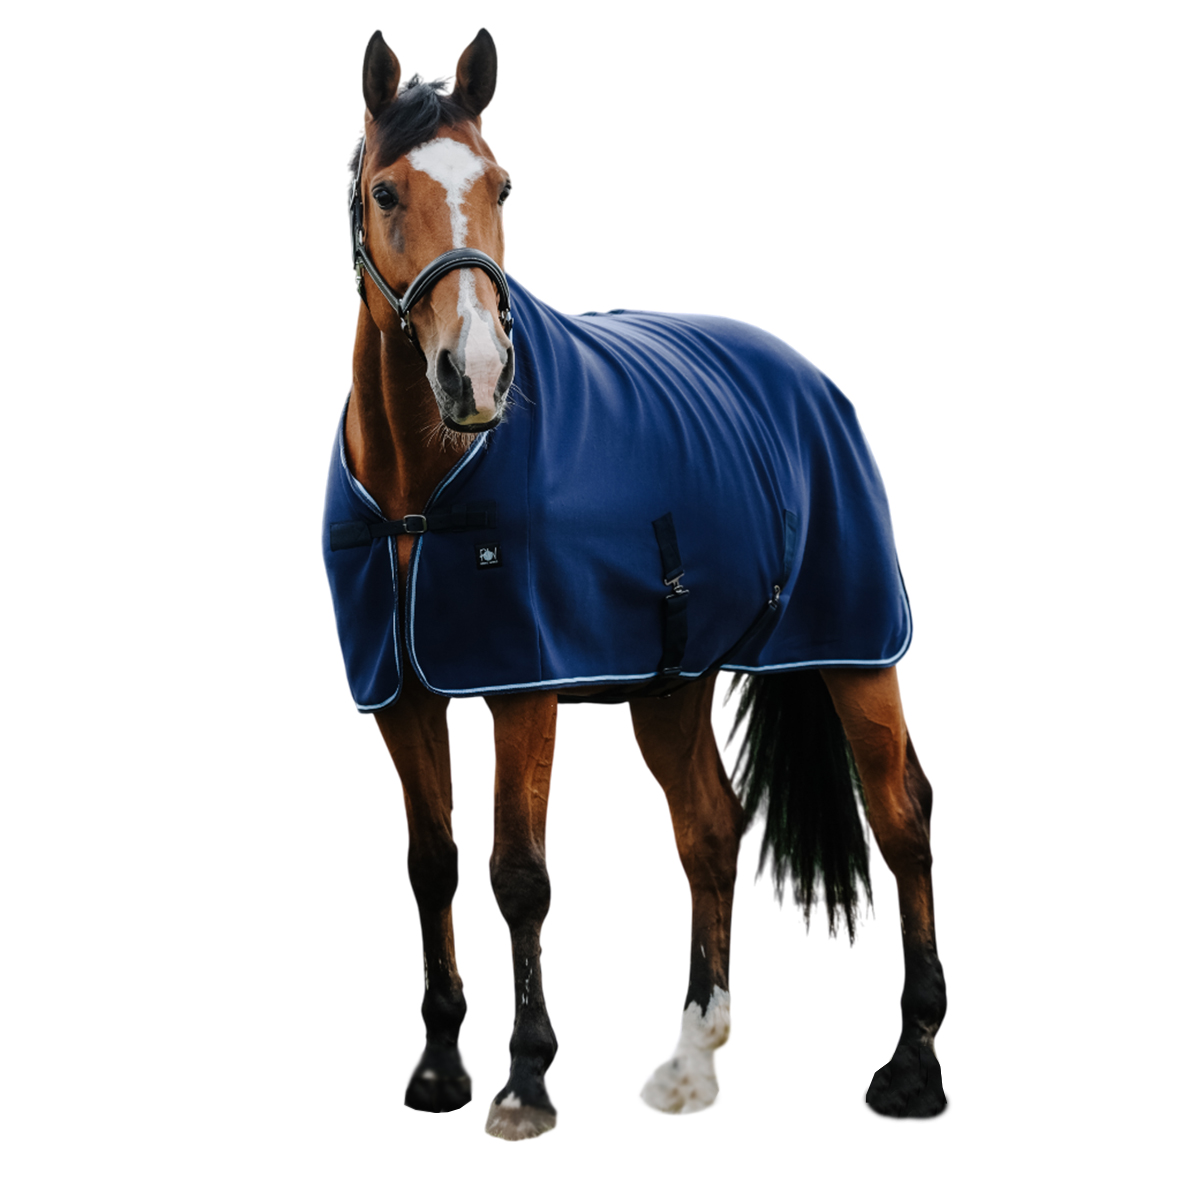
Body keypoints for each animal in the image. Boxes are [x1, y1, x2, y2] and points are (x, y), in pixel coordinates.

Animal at [323, 27, 948, 1140]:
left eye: (502, 185)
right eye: (387, 191)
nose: (476, 376)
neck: (419, 483)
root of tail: (803, 375)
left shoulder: (523, 687)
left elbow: (517, 876)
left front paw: (526, 1082)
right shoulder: (402, 694)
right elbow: (432, 865)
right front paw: (439, 1069)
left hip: (857, 648)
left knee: (902, 818)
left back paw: (913, 1064)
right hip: (672, 684)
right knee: (711, 830)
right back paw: (694, 1060)